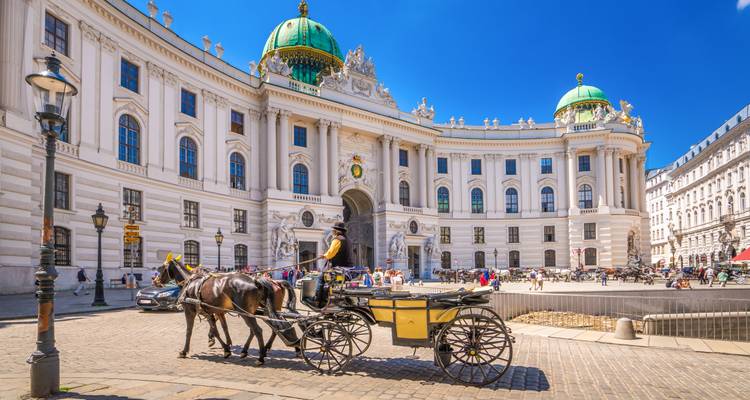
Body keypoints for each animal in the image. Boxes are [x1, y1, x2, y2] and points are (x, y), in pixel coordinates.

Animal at [154, 254, 288, 365]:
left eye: (162, 268)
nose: (155, 281)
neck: (191, 283)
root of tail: (255, 281)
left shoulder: (190, 311)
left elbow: (189, 331)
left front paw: (184, 351)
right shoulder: (211, 312)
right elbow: (219, 329)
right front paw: (226, 347)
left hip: (246, 312)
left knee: (258, 330)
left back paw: (260, 357)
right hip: (253, 312)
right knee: (263, 329)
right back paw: (252, 350)